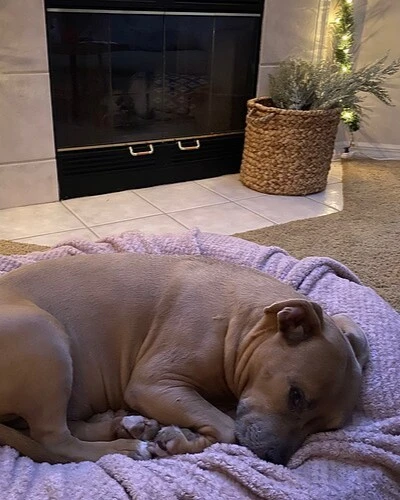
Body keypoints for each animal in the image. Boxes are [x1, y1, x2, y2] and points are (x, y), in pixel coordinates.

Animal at [0, 254, 370, 464]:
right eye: (296, 396)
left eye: (326, 428)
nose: (274, 459)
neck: (241, 323)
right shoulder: (153, 385)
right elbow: (226, 429)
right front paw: (183, 441)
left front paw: (177, 439)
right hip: (45, 339)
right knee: (55, 439)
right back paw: (125, 448)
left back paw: (126, 425)